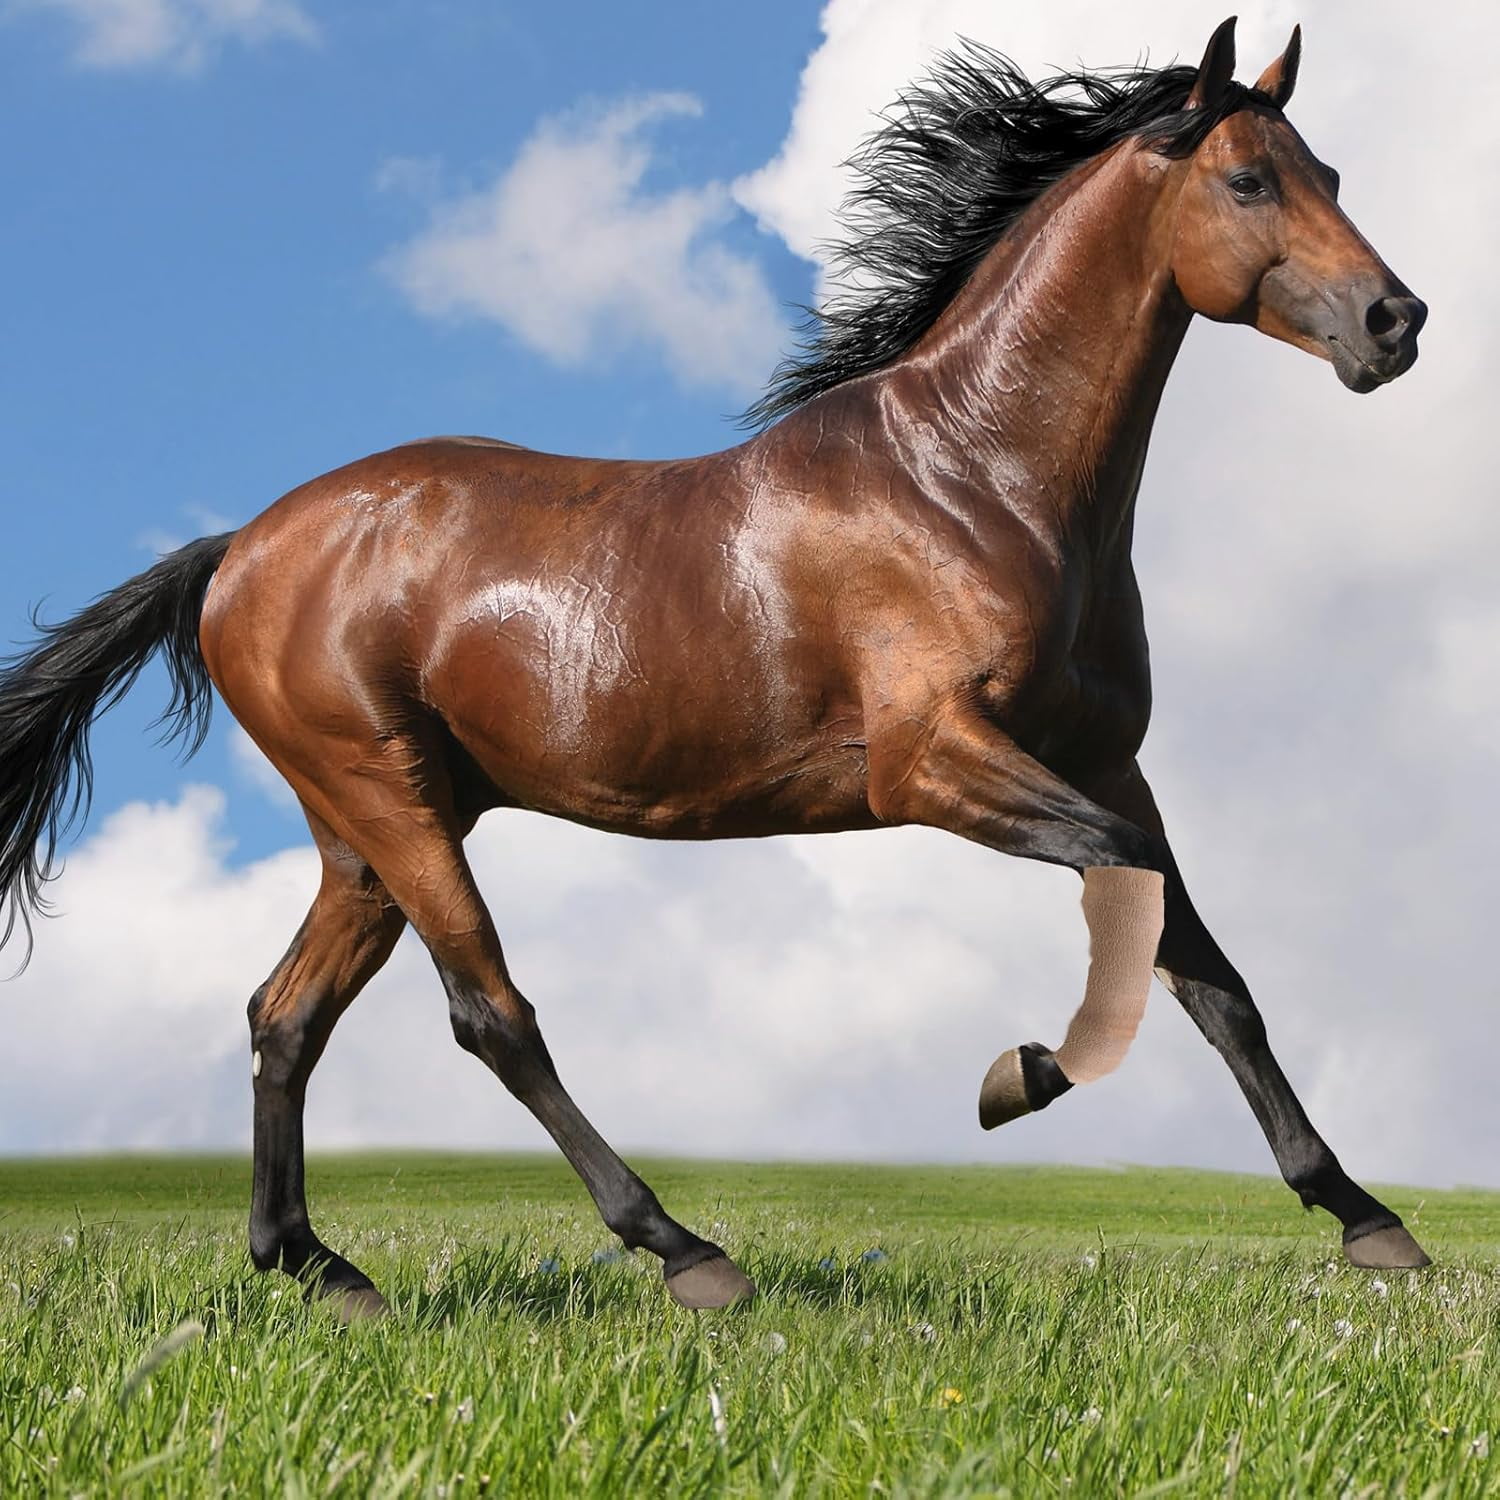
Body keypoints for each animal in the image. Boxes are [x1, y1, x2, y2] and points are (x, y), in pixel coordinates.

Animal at [0, 18, 1430, 1317]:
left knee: (284, 1016)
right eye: (1248, 181)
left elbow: (1211, 974)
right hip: (391, 804)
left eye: (1331, 172)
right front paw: (1015, 1079)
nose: (1396, 320)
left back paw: (319, 1268)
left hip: (365, 835)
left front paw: (1369, 1222)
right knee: (488, 1012)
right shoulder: (933, 766)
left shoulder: (1107, 763)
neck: (977, 478)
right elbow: (1132, 900)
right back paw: (685, 1252)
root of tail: (239, 549)